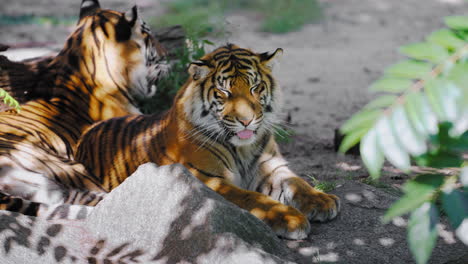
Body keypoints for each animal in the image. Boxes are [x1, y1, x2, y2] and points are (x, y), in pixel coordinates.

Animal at [75, 44, 342, 240]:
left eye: (255, 87)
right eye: (225, 92)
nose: (246, 121)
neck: (243, 149)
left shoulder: (272, 167)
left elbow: (298, 182)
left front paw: (322, 200)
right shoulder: (207, 179)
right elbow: (251, 198)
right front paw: (291, 218)